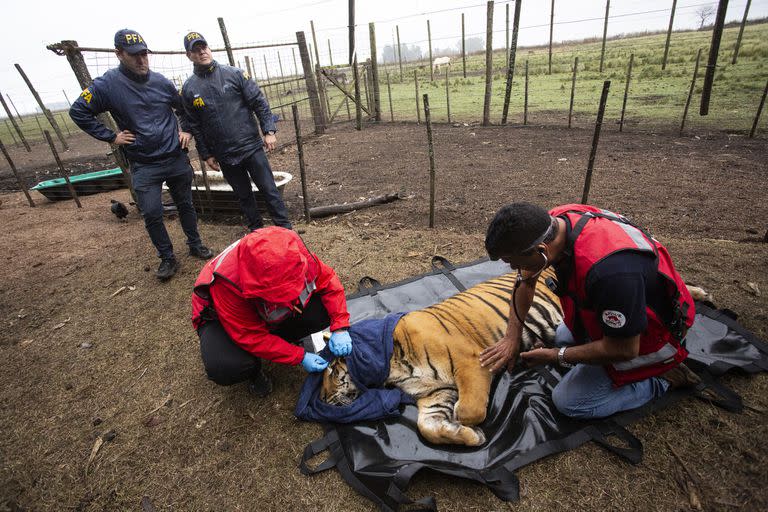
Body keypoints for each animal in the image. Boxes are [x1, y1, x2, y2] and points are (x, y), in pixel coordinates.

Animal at [320, 270, 564, 446]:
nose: (322, 399)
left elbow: (467, 410)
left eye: (331, 369)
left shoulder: (471, 361)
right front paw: (470, 435)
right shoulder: (434, 392)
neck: (395, 369)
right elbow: (427, 427)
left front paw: (468, 426)